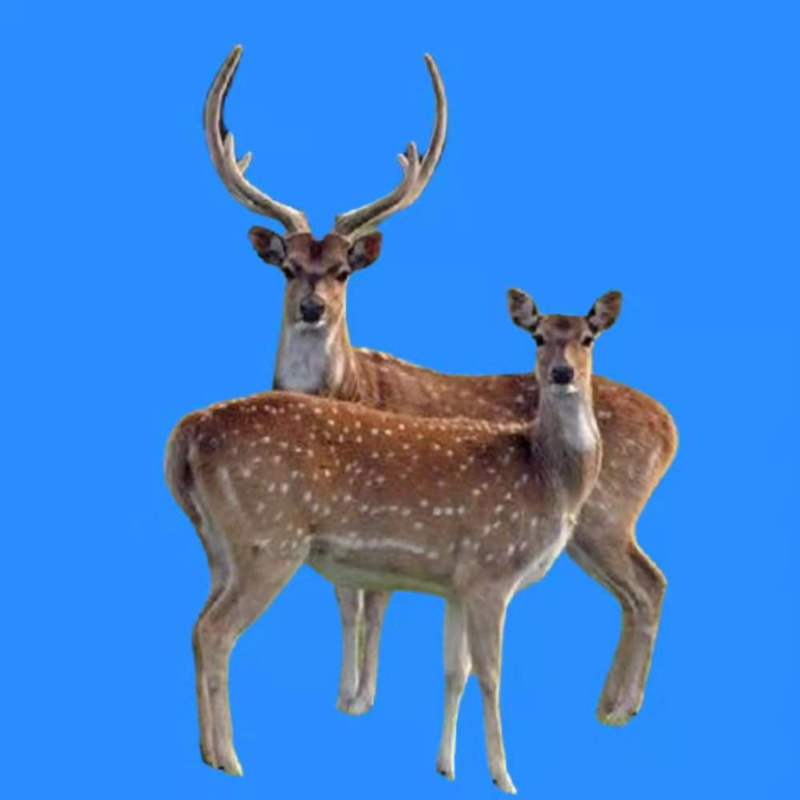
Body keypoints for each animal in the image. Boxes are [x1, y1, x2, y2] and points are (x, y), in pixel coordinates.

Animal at [166, 288, 625, 792]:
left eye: (588, 337)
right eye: (538, 336)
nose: (562, 373)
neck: (546, 476)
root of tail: (187, 433)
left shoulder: (458, 586)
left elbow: (454, 671)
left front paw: (446, 766)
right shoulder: (492, 570)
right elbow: (491, 676)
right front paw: (503, 776)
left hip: (219, 546)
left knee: (196, 626)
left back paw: (207, 753)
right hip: (268, 541)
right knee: (216, 631)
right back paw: (230, 758)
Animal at [202, 45, 678, 726]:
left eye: (343, 269)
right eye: (288, 267)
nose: (313, 308)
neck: (347, 389)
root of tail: (671, 426)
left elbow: (371, 599)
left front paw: (361, 700)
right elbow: (348, 595)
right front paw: (347, 698)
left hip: (609, 514)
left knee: (649, 583)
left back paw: (618, 707)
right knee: (641, 586)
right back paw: (611, 703)